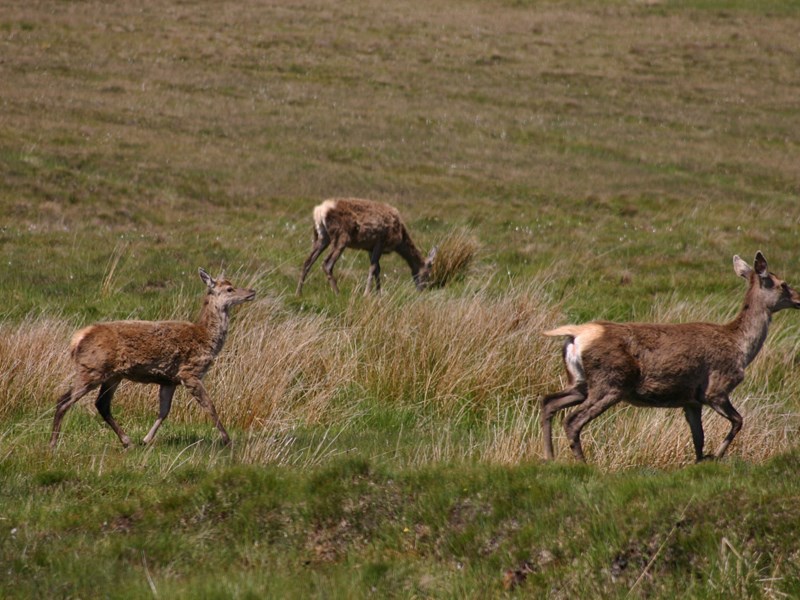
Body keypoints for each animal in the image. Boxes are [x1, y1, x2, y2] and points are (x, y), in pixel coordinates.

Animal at [50, 268, 255, 450]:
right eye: (229, 288)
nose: (252, 292)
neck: (206, 338)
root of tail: (77, 339)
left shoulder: (169, 380)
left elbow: (164, 411)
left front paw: (145, 439)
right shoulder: (190, 372)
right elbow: (209, 406)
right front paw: (227, 441)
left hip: (113, 375)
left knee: (102, 404)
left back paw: (128, 442)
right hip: (92, 369)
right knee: (64, 400)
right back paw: (53, 444)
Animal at [295, 198, 437, 296]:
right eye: (427, 273)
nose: (422, 289)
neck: (400, 237)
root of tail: (319, 211)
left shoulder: (370, 247)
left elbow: (377, 269)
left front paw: (378, 293)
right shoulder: (380, 241)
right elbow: (373, 267)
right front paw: (367, 293)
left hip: (322, 237)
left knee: (307, 261)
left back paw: (298, 293)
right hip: (341, 237)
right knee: (327, 263)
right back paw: (337, 293)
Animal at [540, 252, 800, 465]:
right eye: (783, 284)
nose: (799, 299)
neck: (740, 347)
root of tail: (576, 335)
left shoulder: (691, 400)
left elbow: (698, 438)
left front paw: (700, 462)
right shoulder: (716, 388)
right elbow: (738, 421)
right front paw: (717, 455)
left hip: (579, 383)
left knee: (548, 402)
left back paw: (550, 457)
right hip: (610, 383)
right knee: (572, 420)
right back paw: (583, 464)